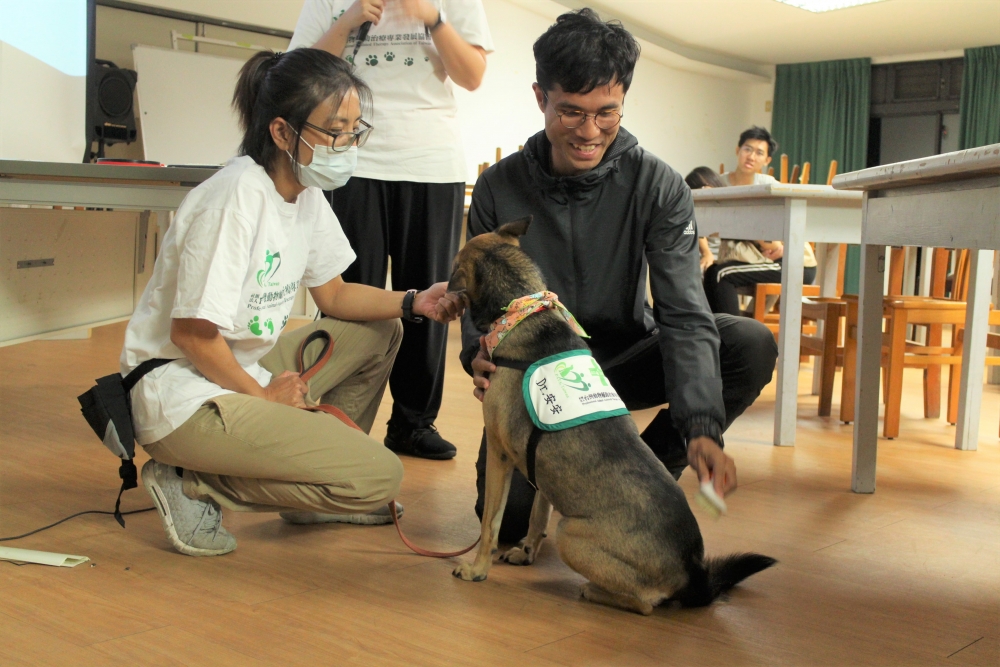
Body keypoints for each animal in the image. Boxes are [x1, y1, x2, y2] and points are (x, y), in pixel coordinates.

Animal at [450, 218, 776, 616]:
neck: (522, 306)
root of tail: (692, 570)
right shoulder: (538, 467)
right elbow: (537, 514)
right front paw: (526, 551)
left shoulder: (499, 454)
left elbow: (490, 523)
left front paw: (476, 569)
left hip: (570, 535)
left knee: (646, 604)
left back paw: (592, 591)